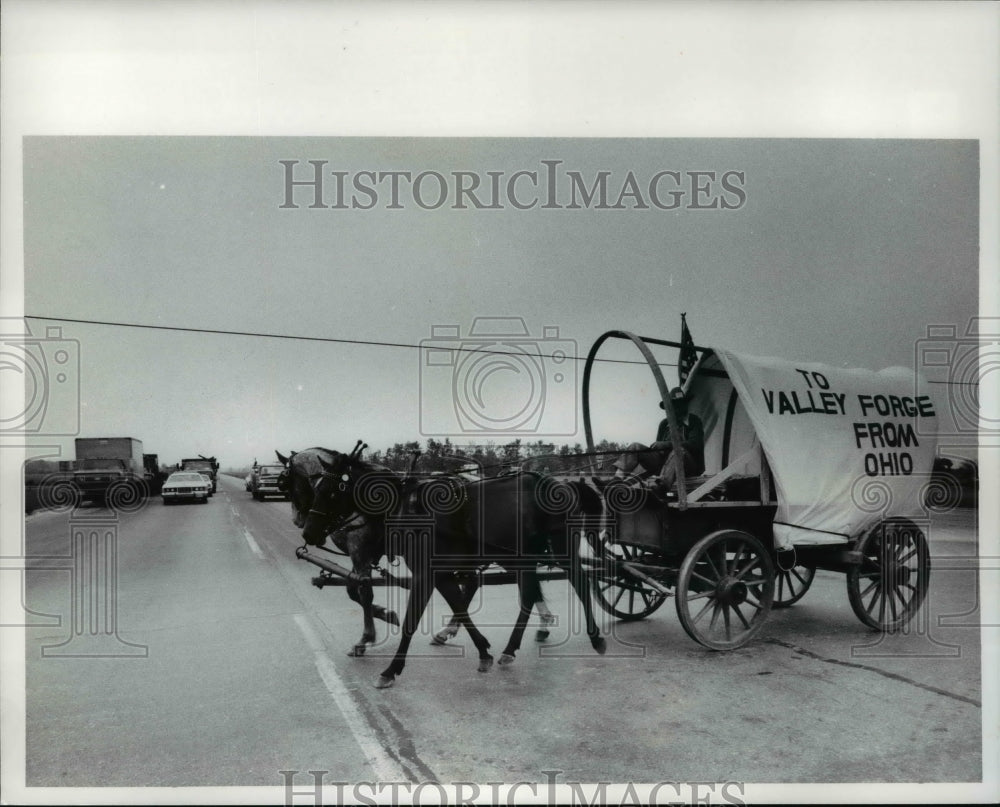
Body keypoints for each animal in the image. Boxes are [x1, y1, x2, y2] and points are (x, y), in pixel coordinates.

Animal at [300, 448, 604, 688]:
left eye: (330, 491)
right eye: (316, 488)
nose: (308, 532)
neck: (408, 509)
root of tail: (562, 484)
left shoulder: (425, 574)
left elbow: (412, 621)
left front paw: (391, 670)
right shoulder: (441, 574)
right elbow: (460, 607)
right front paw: (483, 651)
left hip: (560, 549)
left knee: (581, 583)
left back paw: (597, 638)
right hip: (518, 558)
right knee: (530, 594)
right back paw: (510, 648)